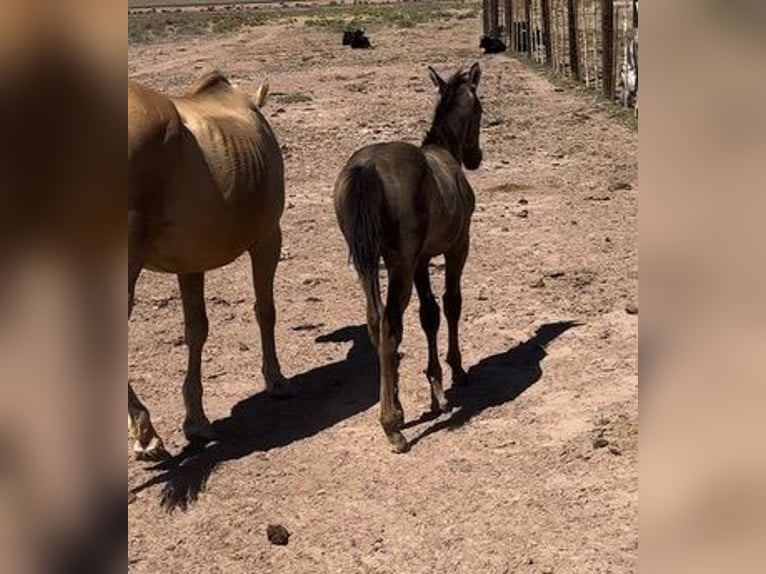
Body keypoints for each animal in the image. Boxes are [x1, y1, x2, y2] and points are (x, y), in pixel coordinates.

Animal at [130, 72, 286, 462]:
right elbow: (265, 311)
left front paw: (196, 421)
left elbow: (196, 330)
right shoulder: (268, 238)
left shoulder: (189, 264)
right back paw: (147, 435)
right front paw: (275, 380)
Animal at [332, 63, 484, 454]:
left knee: (375, 323)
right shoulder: (457, 247)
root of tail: (366, 169)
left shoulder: (420, 260)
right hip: (398, 265)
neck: (443, 155)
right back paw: (393, 425)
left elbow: (428, 314)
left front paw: (436, 389)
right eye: (480, 111)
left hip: (368, 264)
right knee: (389, 326)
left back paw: (396, 406)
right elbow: (451, 303)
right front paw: (455, 371)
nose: (476, 157)